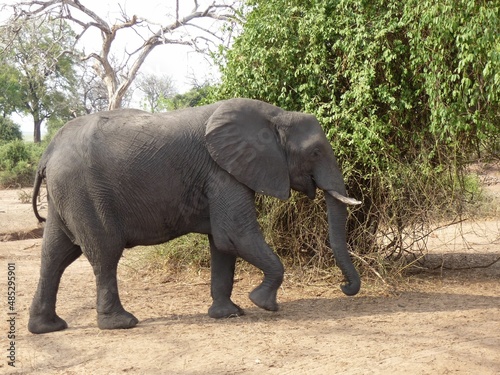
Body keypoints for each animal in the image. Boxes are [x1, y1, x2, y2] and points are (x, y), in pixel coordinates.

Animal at [27, 97, 360, 334]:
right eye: (315, 153)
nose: (344, 288)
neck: (277, 115)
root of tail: (48, 152)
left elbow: (222, 245)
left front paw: (228, 314)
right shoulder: (222, 173)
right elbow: (235, 235)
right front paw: (262, 303)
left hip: (66, 194)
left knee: (55, 254)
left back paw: (47, 328)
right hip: (85, 191)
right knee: (104, 253)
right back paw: (122, 323)